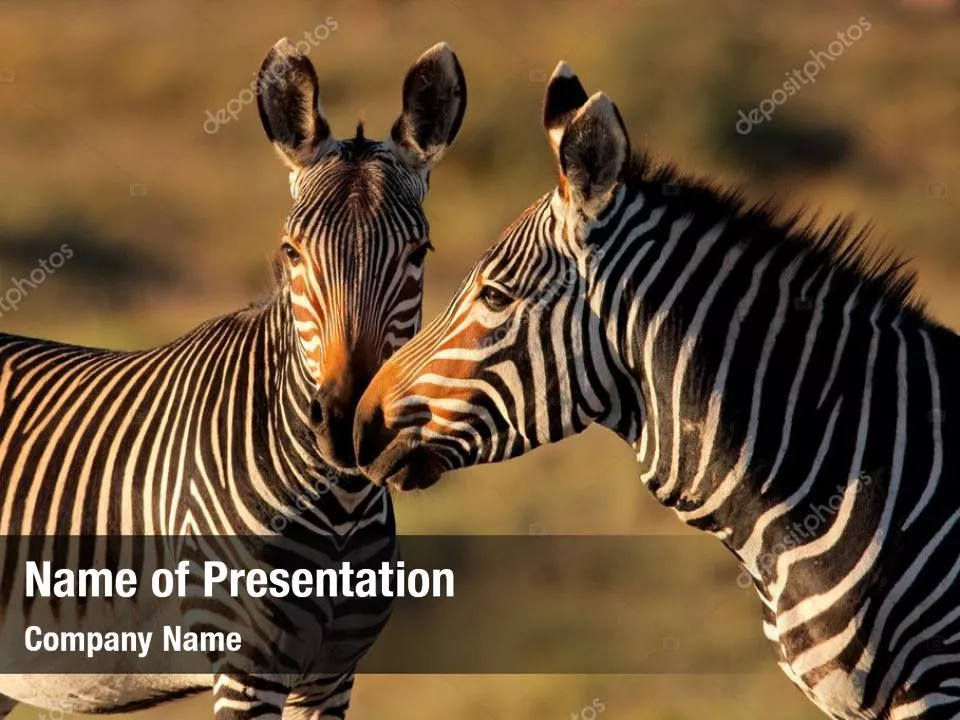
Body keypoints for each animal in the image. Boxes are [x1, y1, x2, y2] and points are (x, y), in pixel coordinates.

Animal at [0, 38, 465, 719]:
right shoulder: (248, 666)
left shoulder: (331, 677)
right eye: (291, 252)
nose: (345, 423)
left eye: (419, 253)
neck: (342, 505)